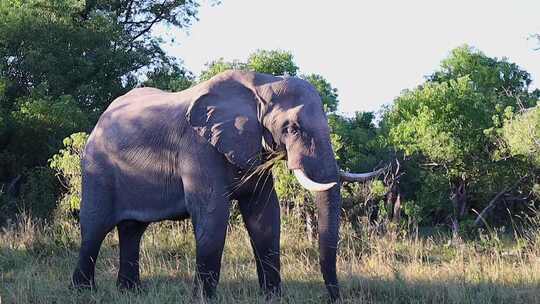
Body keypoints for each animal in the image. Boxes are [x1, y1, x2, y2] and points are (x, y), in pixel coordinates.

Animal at [71, 70, 382, 300]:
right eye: (292, 129)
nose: (333, 298)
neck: (260, 85)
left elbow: (265, 215)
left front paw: (273, 298)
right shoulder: (198, 147)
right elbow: (213, 213)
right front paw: (203, 299)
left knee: (132, 230)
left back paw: (130, 292)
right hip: (97, 168)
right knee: (95, 226)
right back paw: (84, 292)